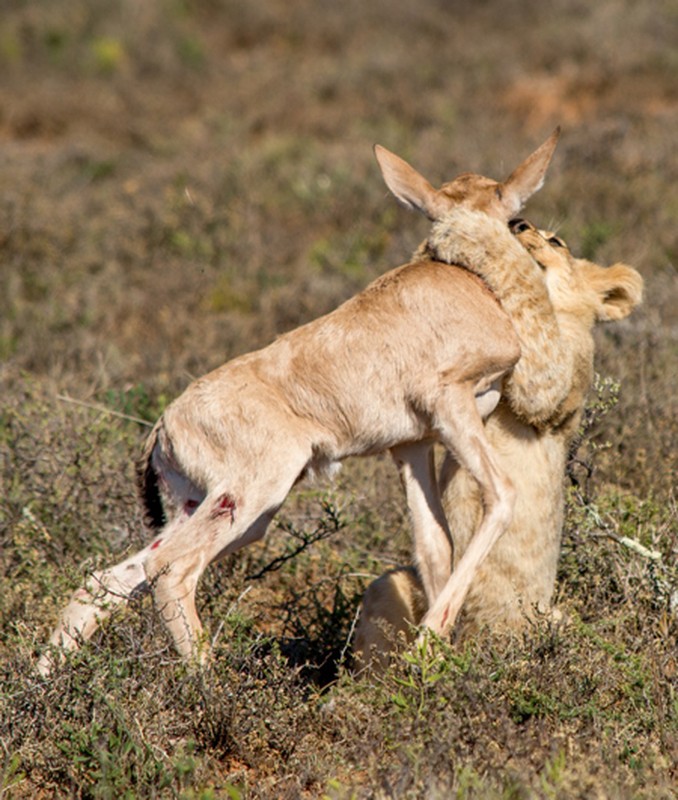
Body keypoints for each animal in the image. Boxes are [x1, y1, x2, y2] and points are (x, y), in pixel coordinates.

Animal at [37, 131, 572, 676]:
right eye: (513, 215)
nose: (532, 232)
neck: (468, 280)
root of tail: (164, 426)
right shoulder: (451, 406)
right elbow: (501, 496)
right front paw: (427, 646)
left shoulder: (413, 445)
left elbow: (434, 544)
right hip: (251, 498)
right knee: (170, 569)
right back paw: (209, 685)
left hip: (209, 509)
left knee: (109, 577)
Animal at [354, 216, 644, 672]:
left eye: (556, 241)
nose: (517, 222)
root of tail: (474, 643)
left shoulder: (552, 382)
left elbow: (528, 307)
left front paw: (471, 231)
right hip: (391, 584)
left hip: (549, 618)